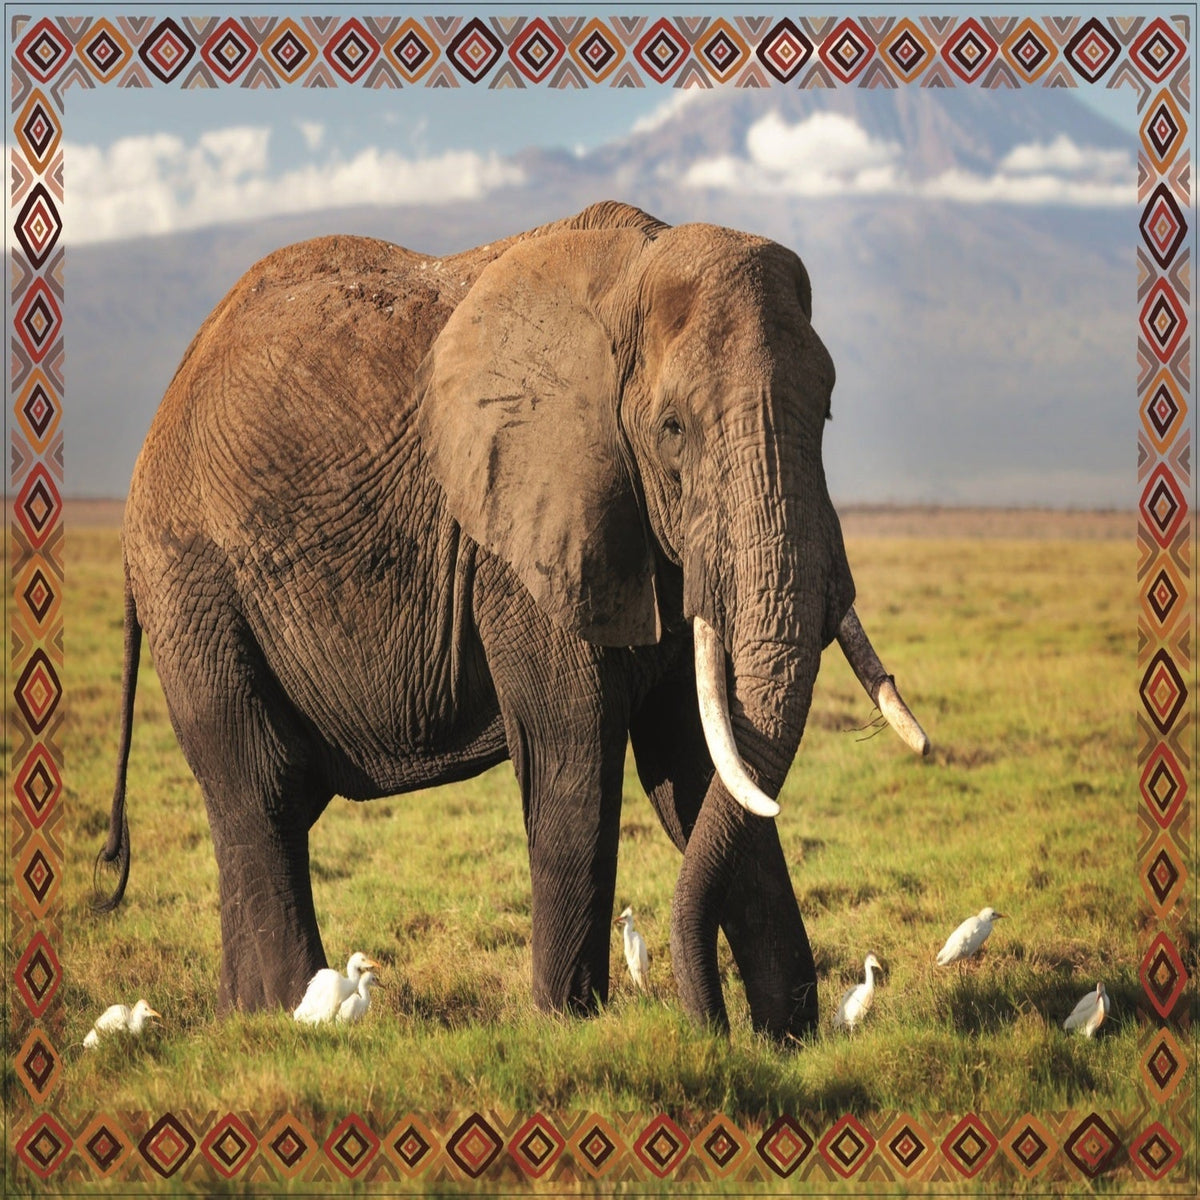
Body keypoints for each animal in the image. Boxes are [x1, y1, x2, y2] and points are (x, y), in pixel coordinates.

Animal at [94, 200, 929, 1041]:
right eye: (672, 430)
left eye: (826, 412)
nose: (709, 1023)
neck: (633, 275)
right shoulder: (522, 540)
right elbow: (576, 749)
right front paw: (570, 1030)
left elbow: (700, 762)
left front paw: (785, 1041)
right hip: (194, 586)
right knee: (260, 789)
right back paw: (285, 1015)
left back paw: (246, 1014)